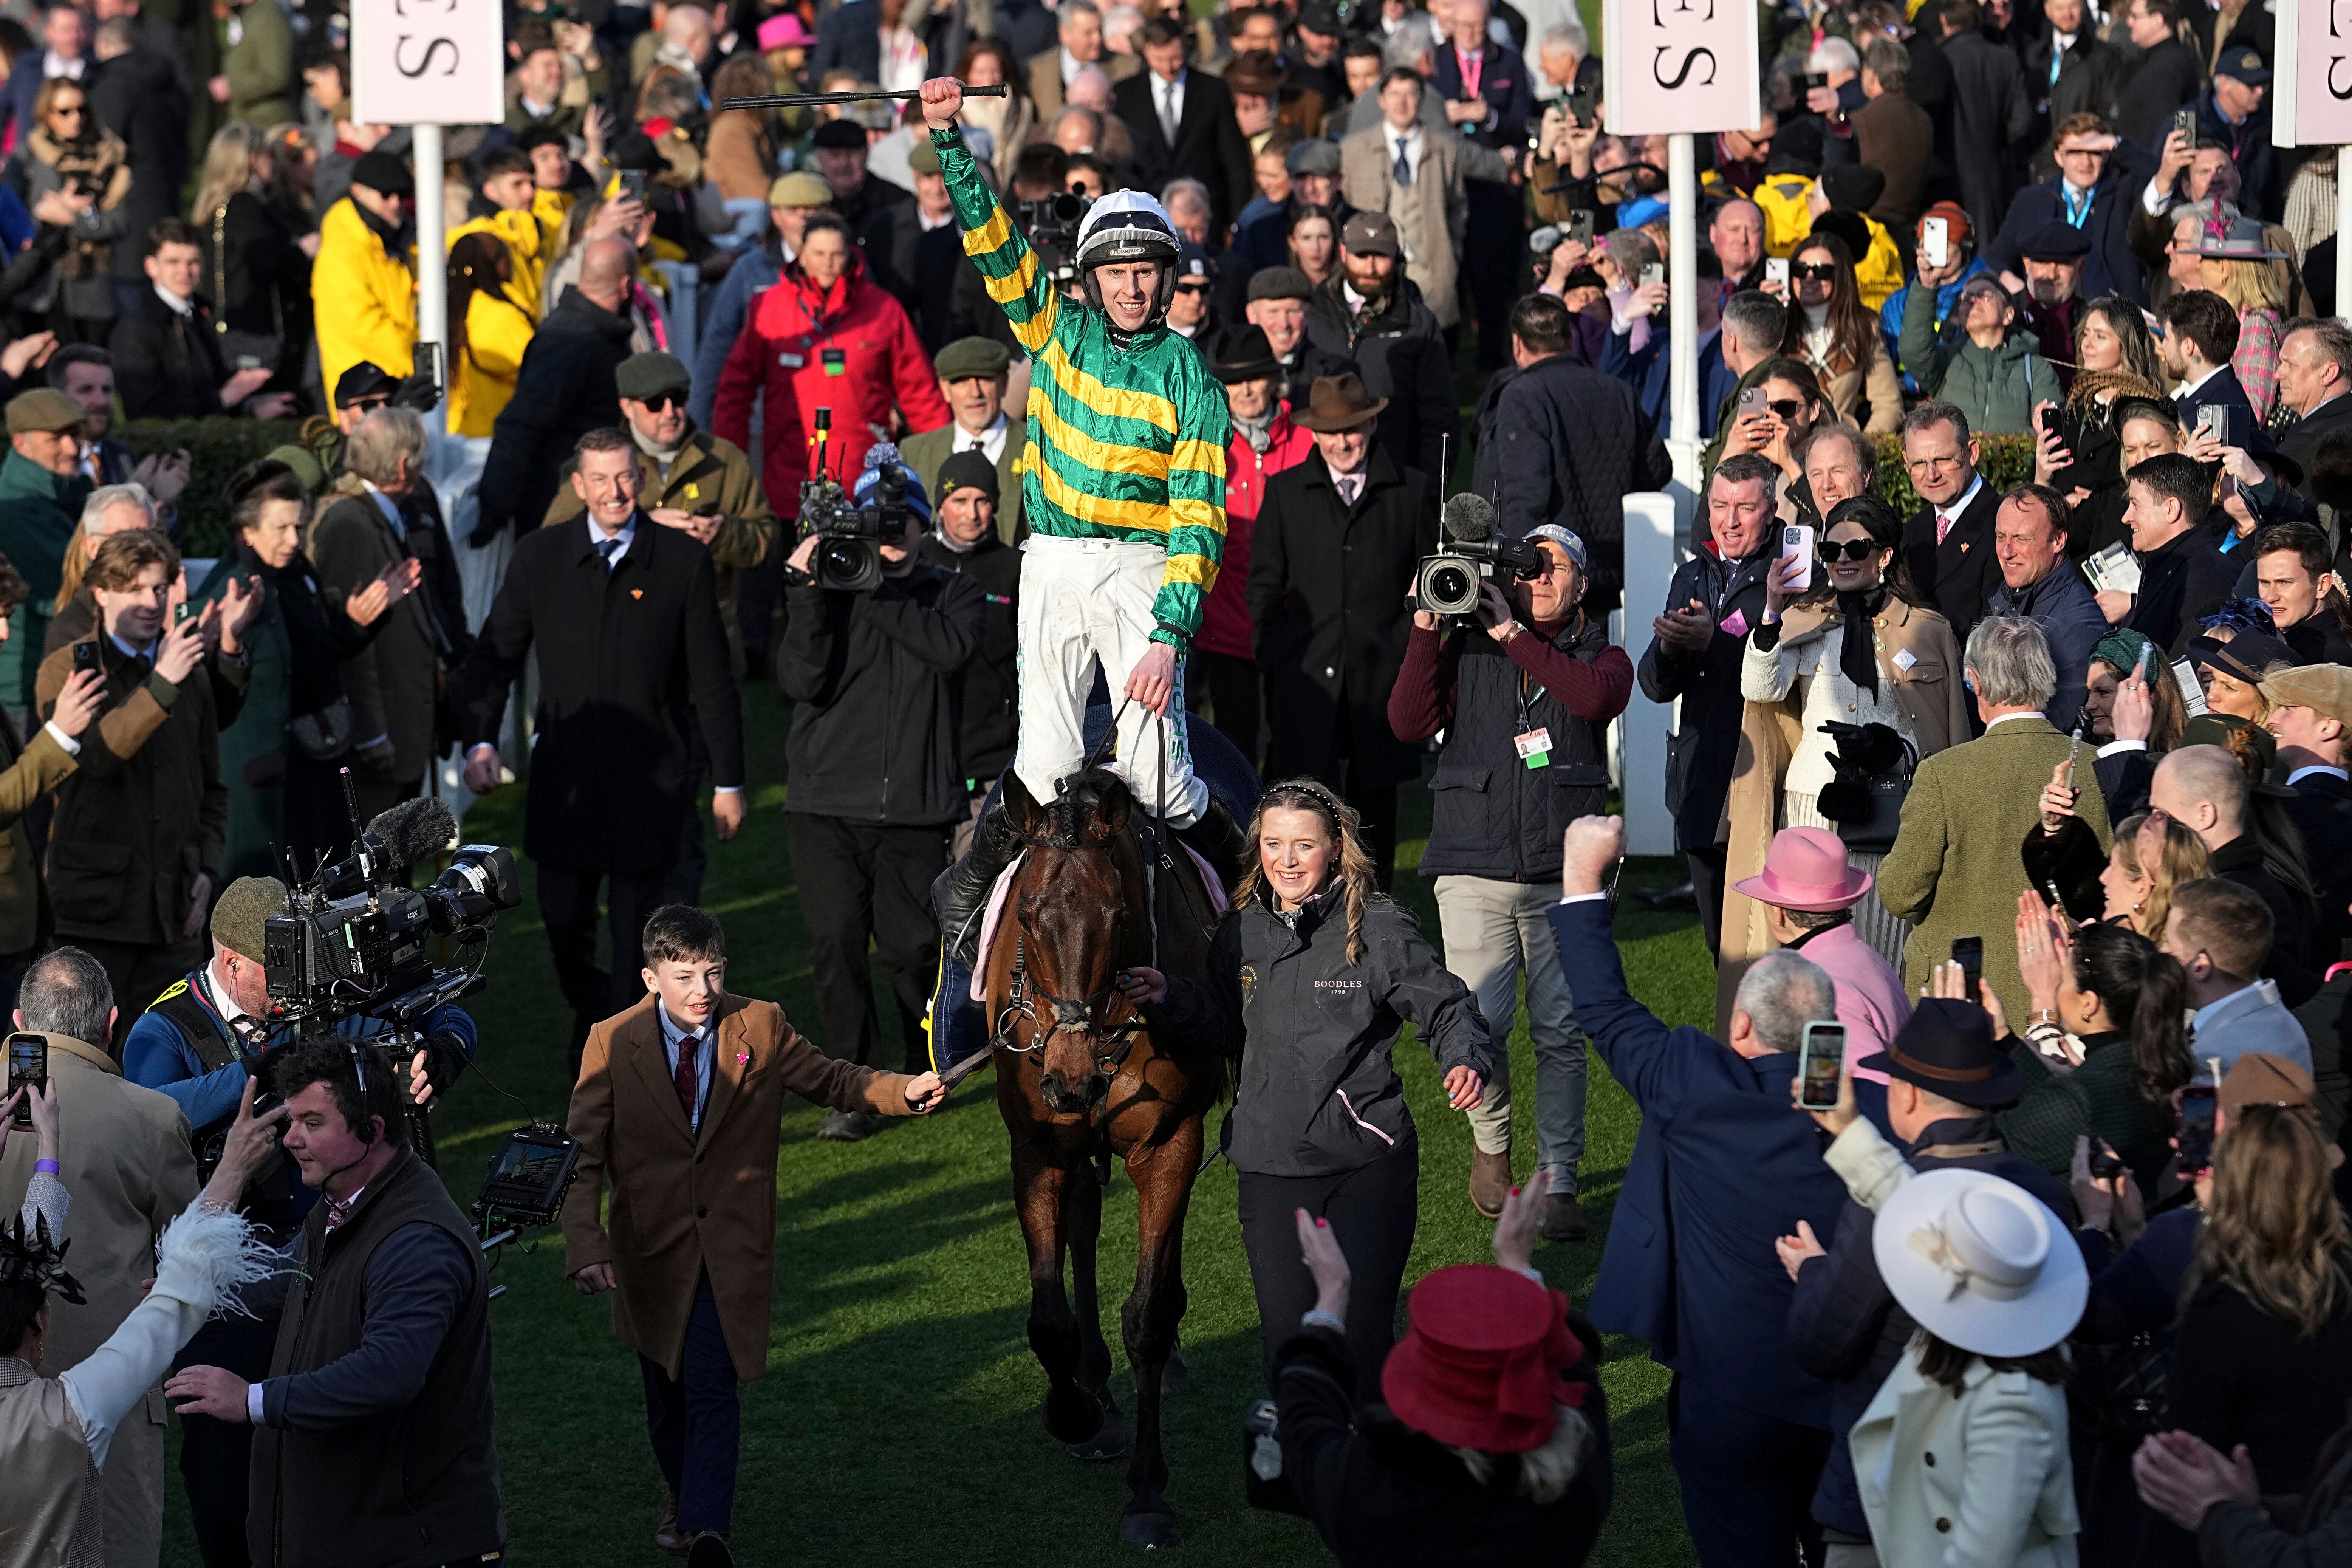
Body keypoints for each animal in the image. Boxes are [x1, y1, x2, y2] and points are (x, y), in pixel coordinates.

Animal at [978, 766, 1223, 1551]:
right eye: (1028, 916)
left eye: (1116, 916)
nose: (1070, 1077)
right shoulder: (1037, 1144)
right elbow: (1047, 1317)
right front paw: (1075, 1410)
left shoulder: (1169, 1136)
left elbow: (1146, 1311)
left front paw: (1148, 1492)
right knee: (1083, 1221)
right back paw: (1095, 1389)